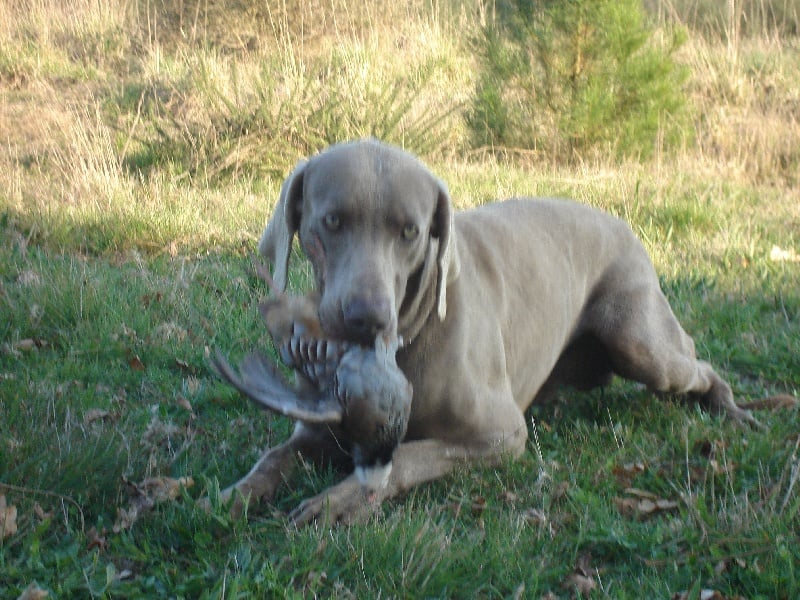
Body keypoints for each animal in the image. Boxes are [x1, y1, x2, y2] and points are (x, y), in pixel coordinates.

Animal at [218, 138, 767, 524]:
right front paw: (235, 493)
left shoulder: (501, 434)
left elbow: (408, 456)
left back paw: (730, 409)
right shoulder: (316, 429)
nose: (365, 319)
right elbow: (273, 457)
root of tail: (624, 224)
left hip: (638, 340)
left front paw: (338, 502)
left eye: (410, 231)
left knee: (696, 360)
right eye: (331, 221)